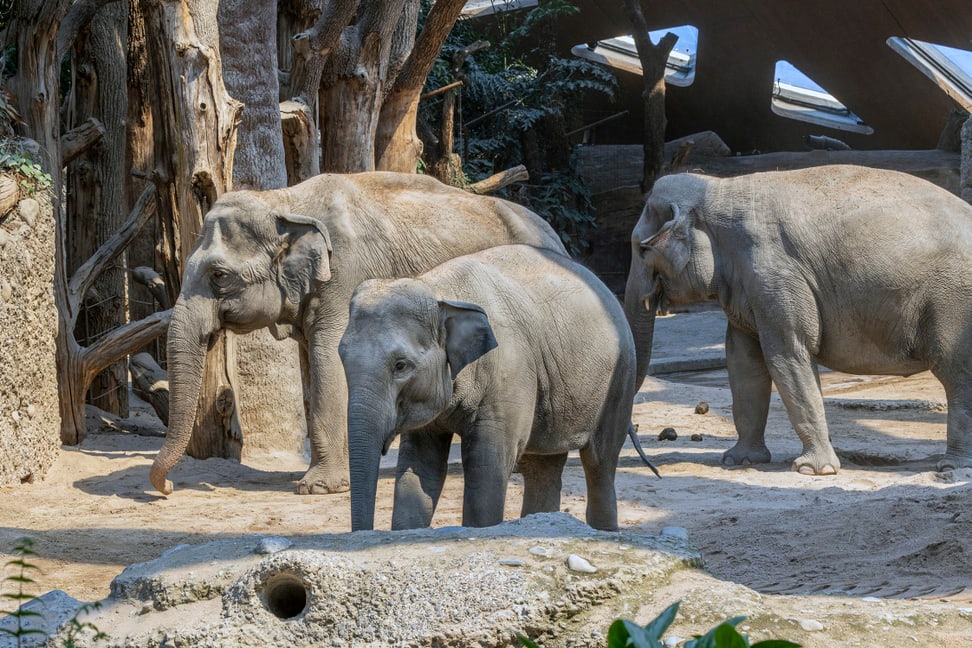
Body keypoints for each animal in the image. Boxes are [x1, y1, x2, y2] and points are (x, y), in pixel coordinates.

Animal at [148, 171, 564, 496]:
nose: (168, 487)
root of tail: (555, 236)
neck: (285, 201)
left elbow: (329, 363)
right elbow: (314, 367)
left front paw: (318, 488)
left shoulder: (345, 275)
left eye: (219, 275)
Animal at [336, 244, 636, 532]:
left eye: (400, 365)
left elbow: (486, 466)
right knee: (543, 465)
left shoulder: (509, 373)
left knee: (600, 460)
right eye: (342, 356)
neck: (438, 292)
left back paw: (605, 530)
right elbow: (420, 464)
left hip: (620, 379)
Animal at [628, 165, 972, 474]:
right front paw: (739, 461)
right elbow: (743, 361)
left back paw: (952, 467)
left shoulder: (774, 274)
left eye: (641, 249)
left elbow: (788, 354)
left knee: (956, 373)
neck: (716, 189)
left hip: (953, 302)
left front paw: (814, 470)